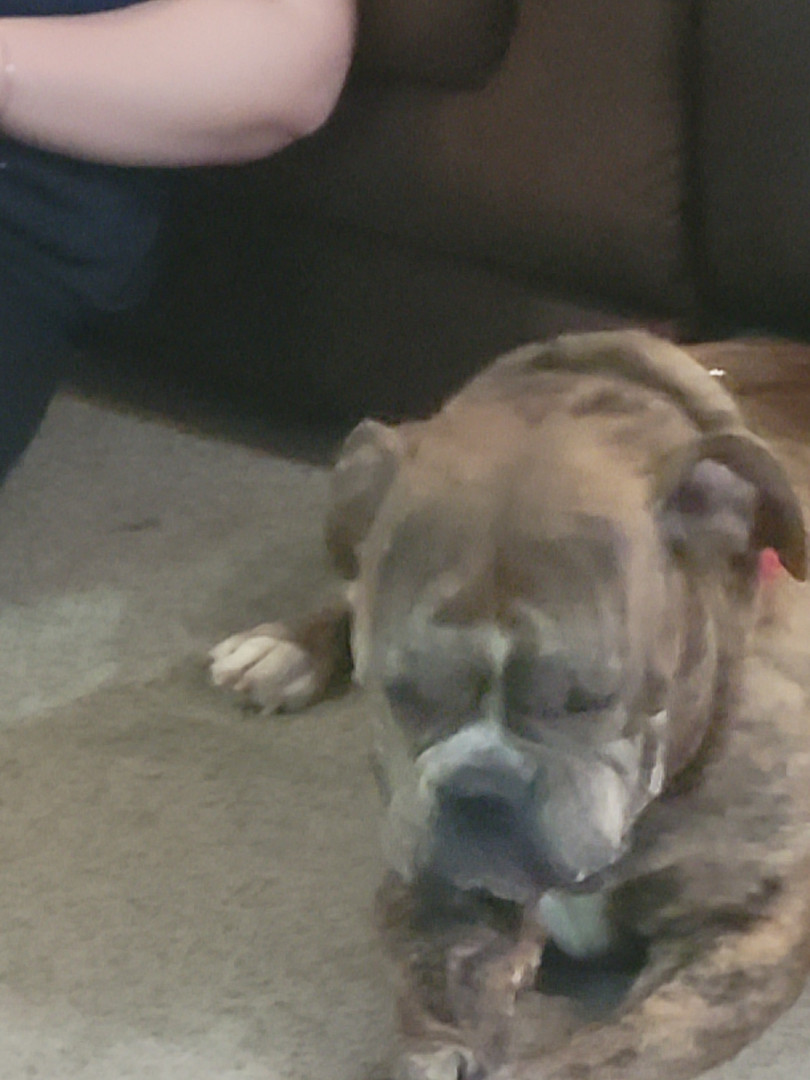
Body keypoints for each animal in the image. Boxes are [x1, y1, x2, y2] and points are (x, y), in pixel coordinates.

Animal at [209, 330, 810, 1080]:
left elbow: (611, 1052)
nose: (482, 789)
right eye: (403, 695)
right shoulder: (430, 889)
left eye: (591, 699)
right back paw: (281, 649)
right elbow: (445, 998)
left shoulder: (742, 934)